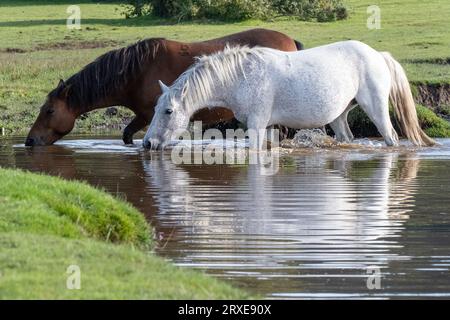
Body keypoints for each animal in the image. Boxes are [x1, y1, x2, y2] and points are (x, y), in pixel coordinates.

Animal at [25, 28, 302, 146]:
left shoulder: (149, 115)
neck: (136, 72)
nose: (29, 141)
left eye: (49, 111)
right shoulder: (143, 116)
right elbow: (127, 137)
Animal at [142, 40, 434, 149]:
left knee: (391, 138)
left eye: (168, 111)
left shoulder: (257, 125)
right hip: (339, 116)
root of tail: (377, 55)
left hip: (376, 109)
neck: (241, 76)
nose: (146, 143)